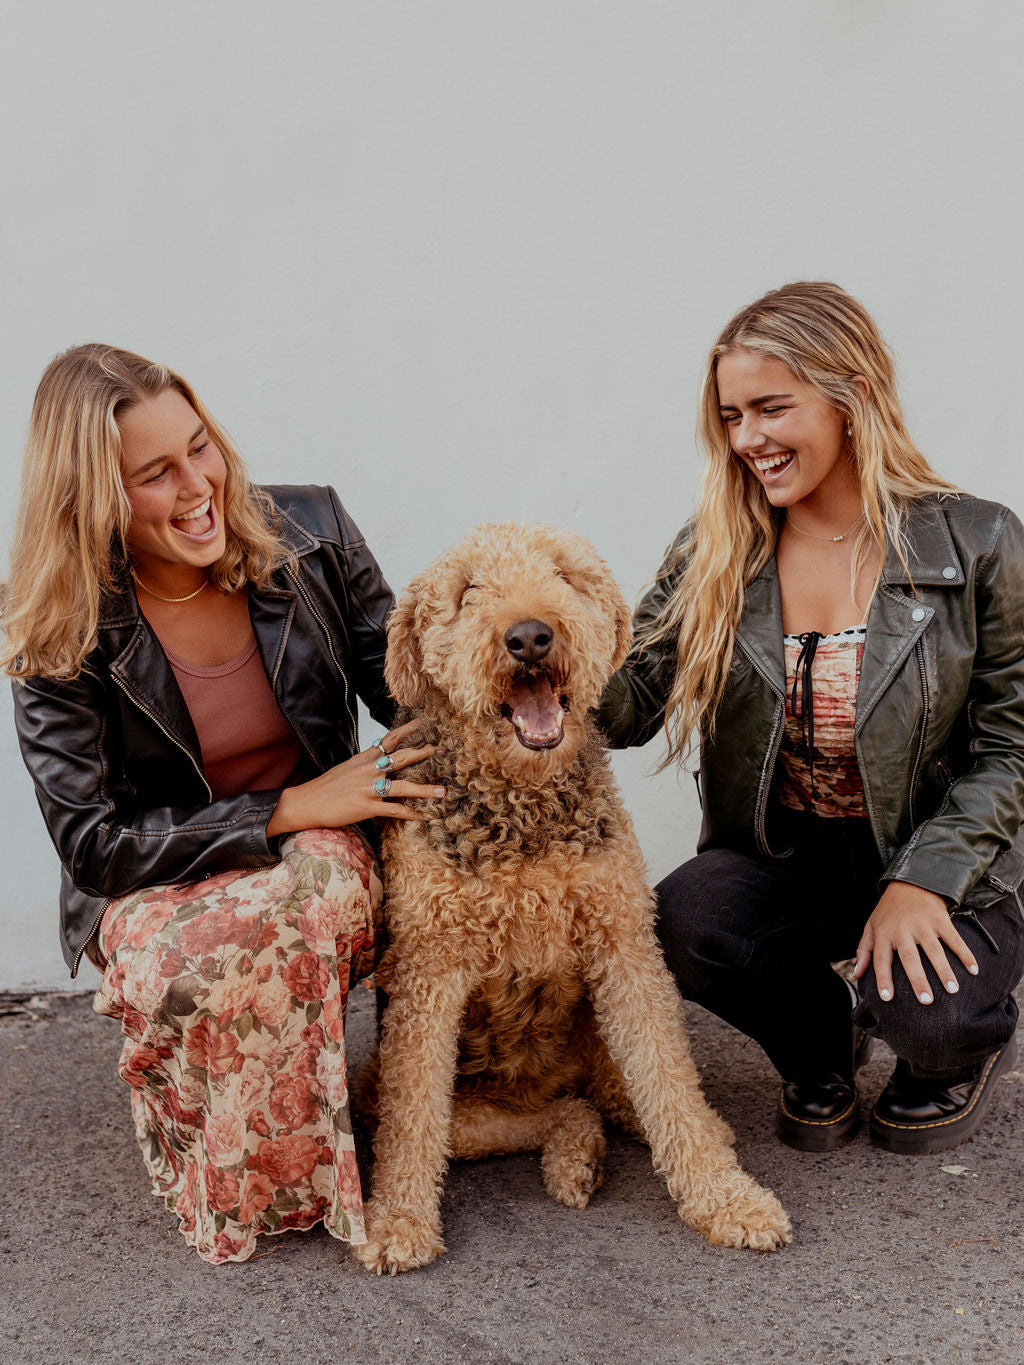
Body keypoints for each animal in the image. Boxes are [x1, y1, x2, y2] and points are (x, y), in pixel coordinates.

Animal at [352, 515, 791, 1272]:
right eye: (466, 592)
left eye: (563, 574)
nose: (529, 636)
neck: (523, 808)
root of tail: (551, 1083)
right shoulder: (428, 975)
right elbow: (411, 1126)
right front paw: (398, 1224)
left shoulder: (626, 947)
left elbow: (669, 1084)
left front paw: (726, 1198)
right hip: (414, 1092)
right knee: (536, 1116)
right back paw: (575, 1158)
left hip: (605, 1043)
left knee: (641, 1096)